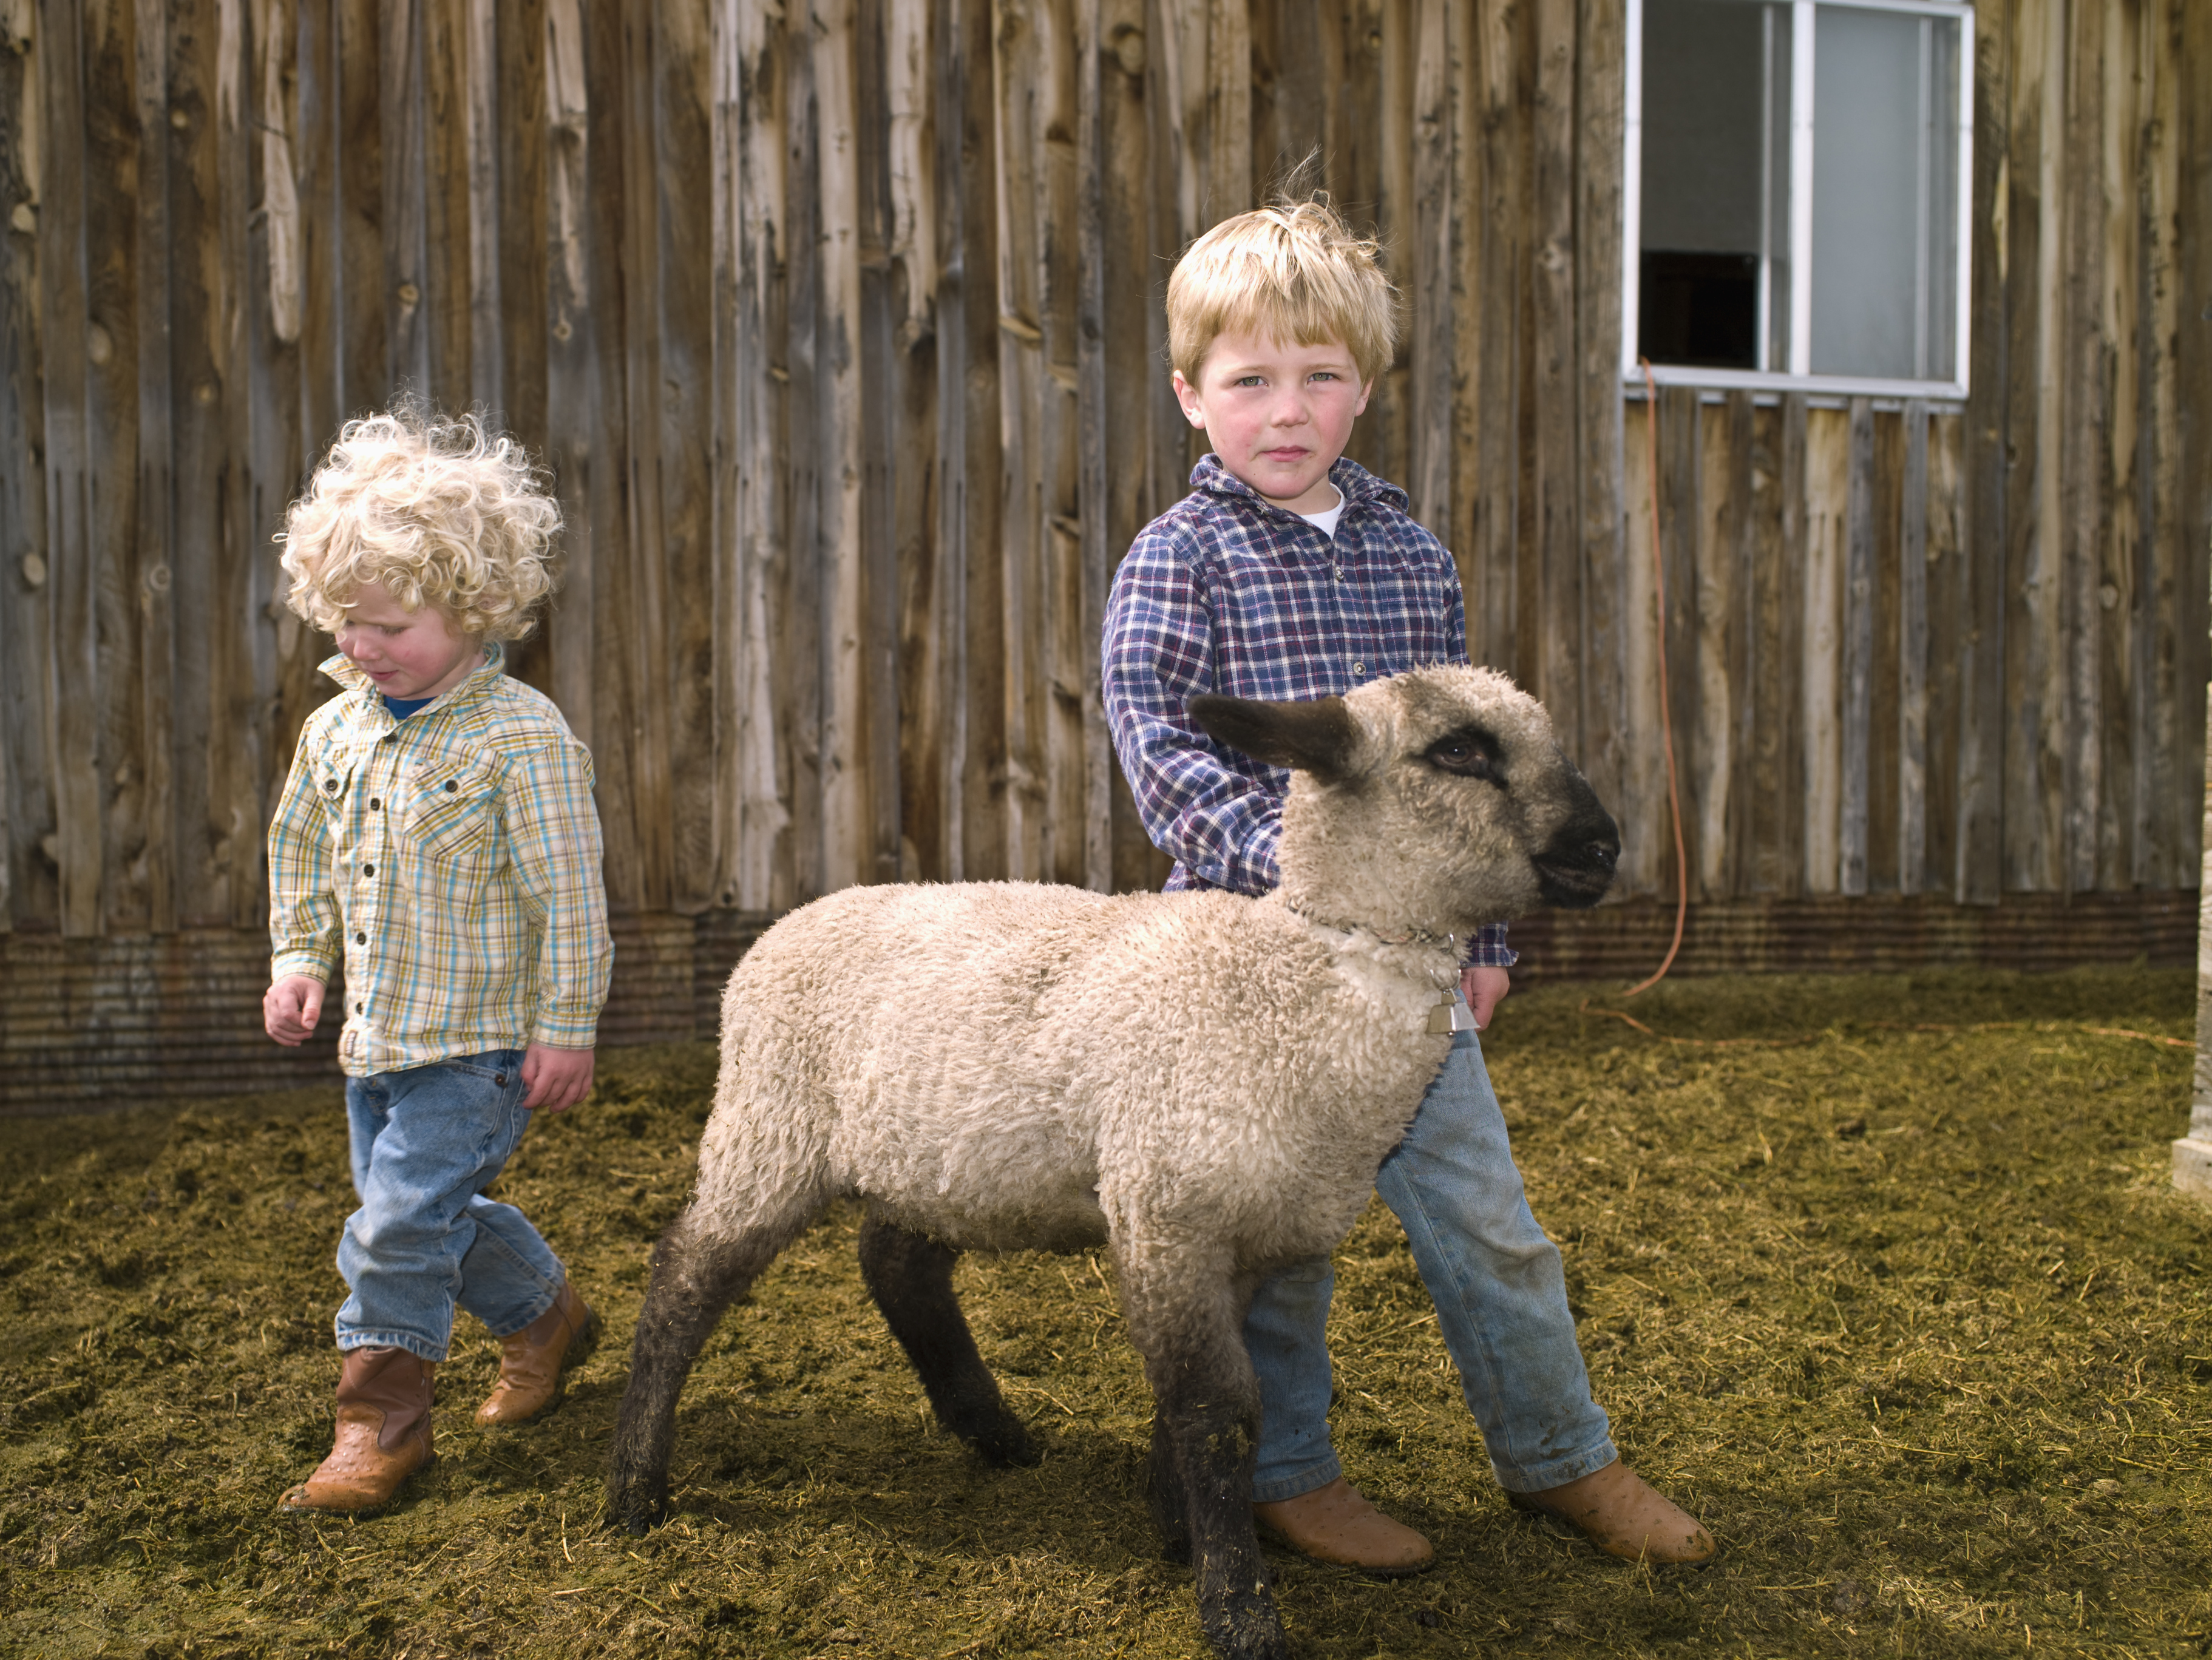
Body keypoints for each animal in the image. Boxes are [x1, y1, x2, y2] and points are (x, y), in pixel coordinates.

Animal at [615, 667, 1619, 1660]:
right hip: (768, 1125)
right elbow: (1219, 1409)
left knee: (897, 1265)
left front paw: (1178, 1533)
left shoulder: (1241, 1237)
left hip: (934, 1155)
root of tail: (785, 922)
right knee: (686, 1276)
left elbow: (1200, 1408)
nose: (1604, 844)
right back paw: (634, 1490)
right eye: (1459, 750)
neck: (1296, 976)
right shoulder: (1169, 1213)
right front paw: (1238, 1608)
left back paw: (995, 1432)